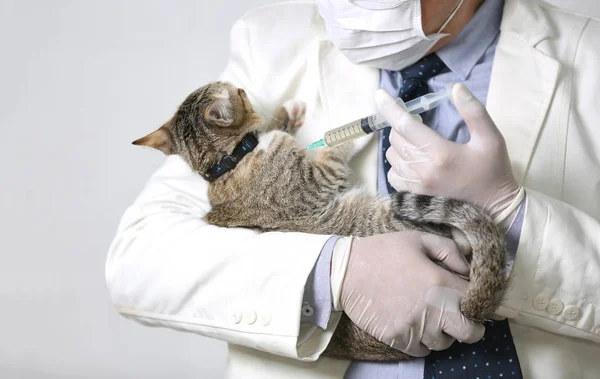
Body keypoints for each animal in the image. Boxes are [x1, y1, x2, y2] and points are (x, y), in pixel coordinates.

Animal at [134, 82, 508, 362]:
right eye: (239, 93)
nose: (242, 87)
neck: (228, 162)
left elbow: (275, 127)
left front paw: (287, 112)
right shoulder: (318, 178)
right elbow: (333, 150)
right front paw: (354, 131)